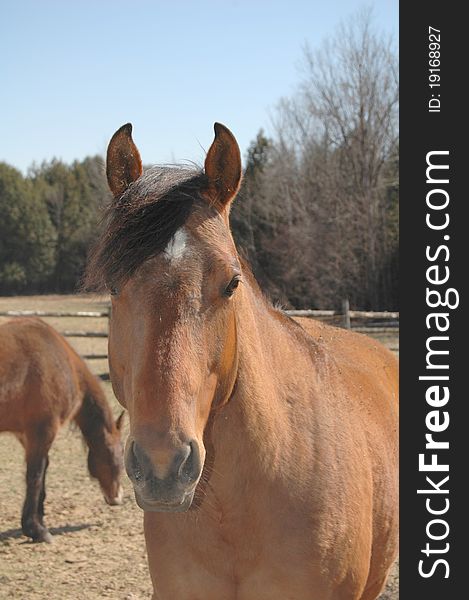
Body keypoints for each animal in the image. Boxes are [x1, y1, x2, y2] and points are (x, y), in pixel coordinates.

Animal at [0, 318, 124, 544]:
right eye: (118, 455)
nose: (117, 497)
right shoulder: (43, 430)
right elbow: (35, 475)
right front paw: (36, 530)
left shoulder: (28, 435)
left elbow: (42, 472)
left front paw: (39, 518)